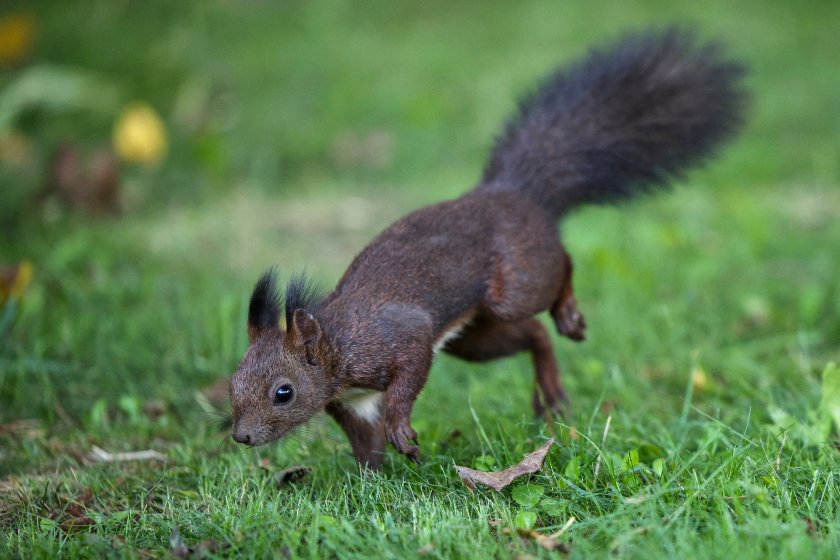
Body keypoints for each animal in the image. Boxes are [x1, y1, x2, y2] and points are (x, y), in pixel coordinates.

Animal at [226, 29, 744, 468]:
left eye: (283, 392)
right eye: (233, 382)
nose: (242, 437)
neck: (338, 347)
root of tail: (512, 192)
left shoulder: (397, 339)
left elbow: (405, 381)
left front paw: (401, 432)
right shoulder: (350, 403)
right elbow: (363, 441)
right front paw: (372, 481)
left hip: (515, 283)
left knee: (560, 268)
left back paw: (569, 314)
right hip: (473, 338)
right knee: (533, 335)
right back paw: (550, 391)